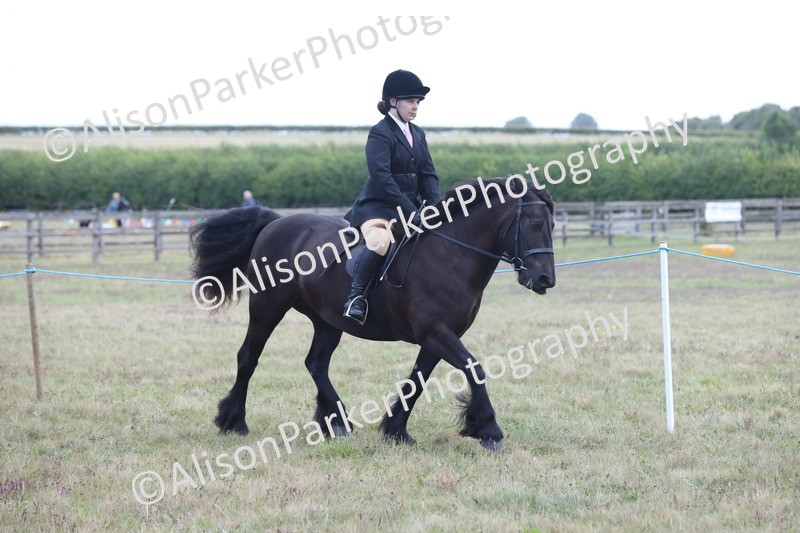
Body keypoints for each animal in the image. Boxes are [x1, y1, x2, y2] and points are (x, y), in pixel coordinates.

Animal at [188, 176, 556, 450]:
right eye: (536, 223)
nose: (544, 280)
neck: (451, 254)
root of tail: (274, 224)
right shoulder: (436, 332)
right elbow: (473, 368)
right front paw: (489, 430)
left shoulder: (438, 336)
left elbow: (417, 380)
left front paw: (396, 430)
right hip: (267, 307)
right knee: (248, 356)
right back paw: (234, 421)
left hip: (327, 320)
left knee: (316, 363)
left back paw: (336, 422)